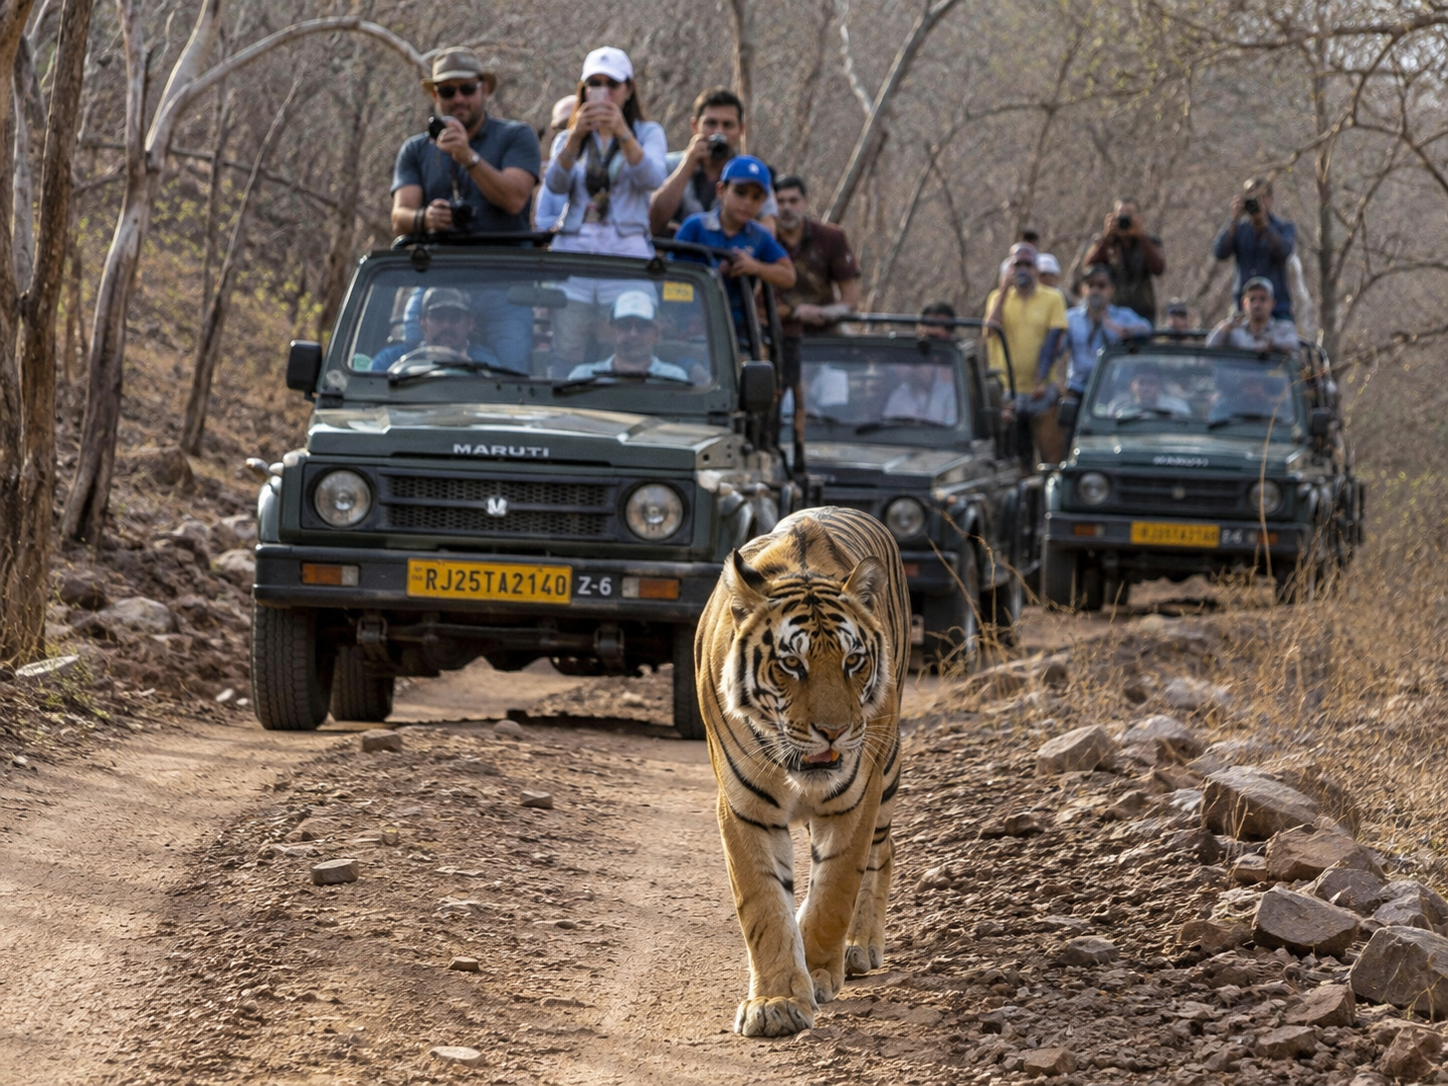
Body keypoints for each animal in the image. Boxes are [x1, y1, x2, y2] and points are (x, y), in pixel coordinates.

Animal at [694, 506, 908, 1038]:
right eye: (791, 663)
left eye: (854, 661)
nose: (834, 732)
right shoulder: (744, 806)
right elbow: (764, 903)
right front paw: (776, 1002)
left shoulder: (856, 796)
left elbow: (835, 891)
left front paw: (816, 972)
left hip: (888, 766)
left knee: (884, 851)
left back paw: (859, 946)